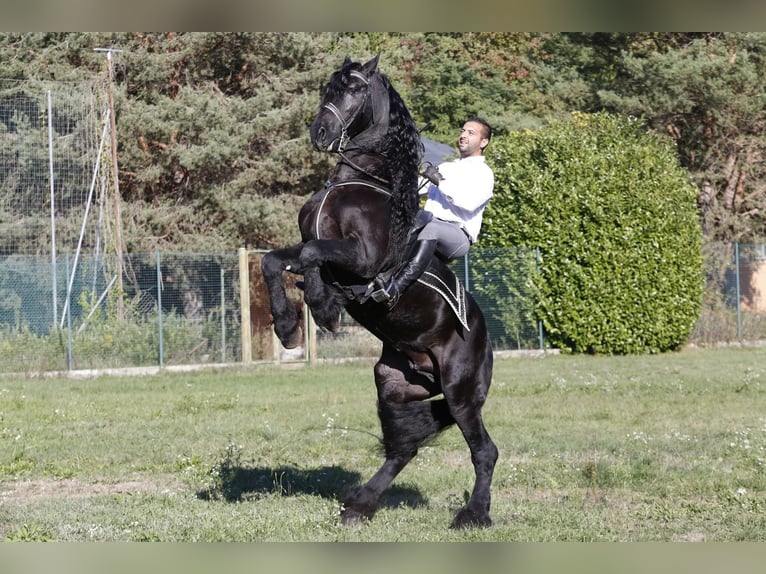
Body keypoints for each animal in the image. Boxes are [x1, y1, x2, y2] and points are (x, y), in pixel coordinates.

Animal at [260, 55, 498, 532]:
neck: (357, 183)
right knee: (403, 448)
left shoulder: (363, 258)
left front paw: (323, 306)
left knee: (484, 451)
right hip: (394, 384)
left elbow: (312, 256)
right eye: (328, 88)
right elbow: (275, 261)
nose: (320, 133)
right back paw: (359, 505)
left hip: (461, 392)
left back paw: (473, 515)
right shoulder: (310, 247)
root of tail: (485, 342)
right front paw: (288, 327)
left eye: (354, 89)